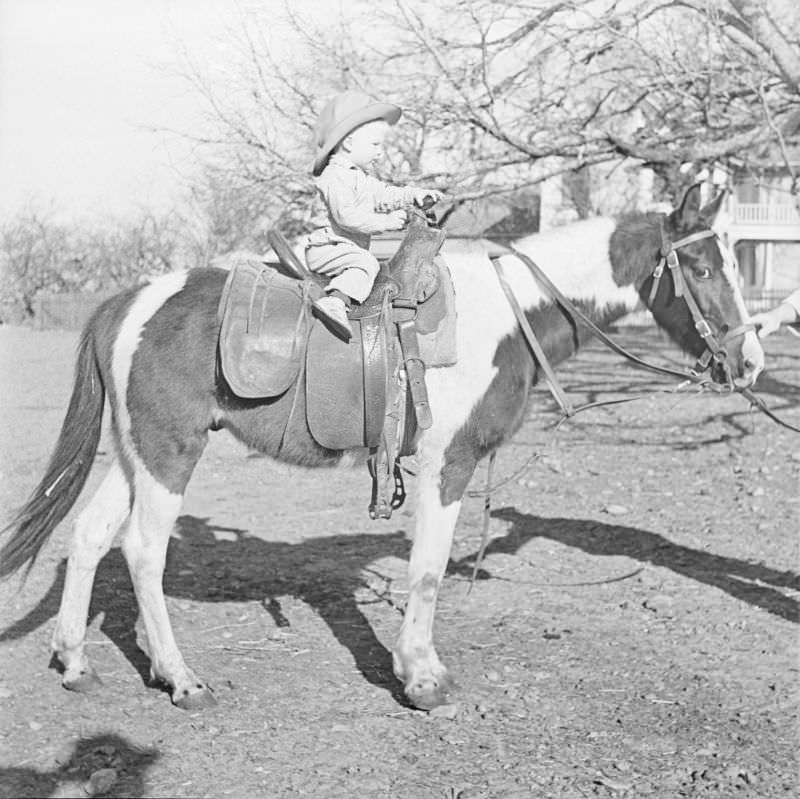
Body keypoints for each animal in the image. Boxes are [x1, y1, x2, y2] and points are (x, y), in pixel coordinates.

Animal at [0, 184, 764, 708]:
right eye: (701, 268)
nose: (749, 360)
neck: (505, 315)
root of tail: (126, 302)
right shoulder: (447, 464)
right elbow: (427, 569)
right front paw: (421, 678)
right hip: (168, 452)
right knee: (141, 549)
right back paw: (182, 679)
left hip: (137, 454)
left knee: (90, 536)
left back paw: (76, 662)